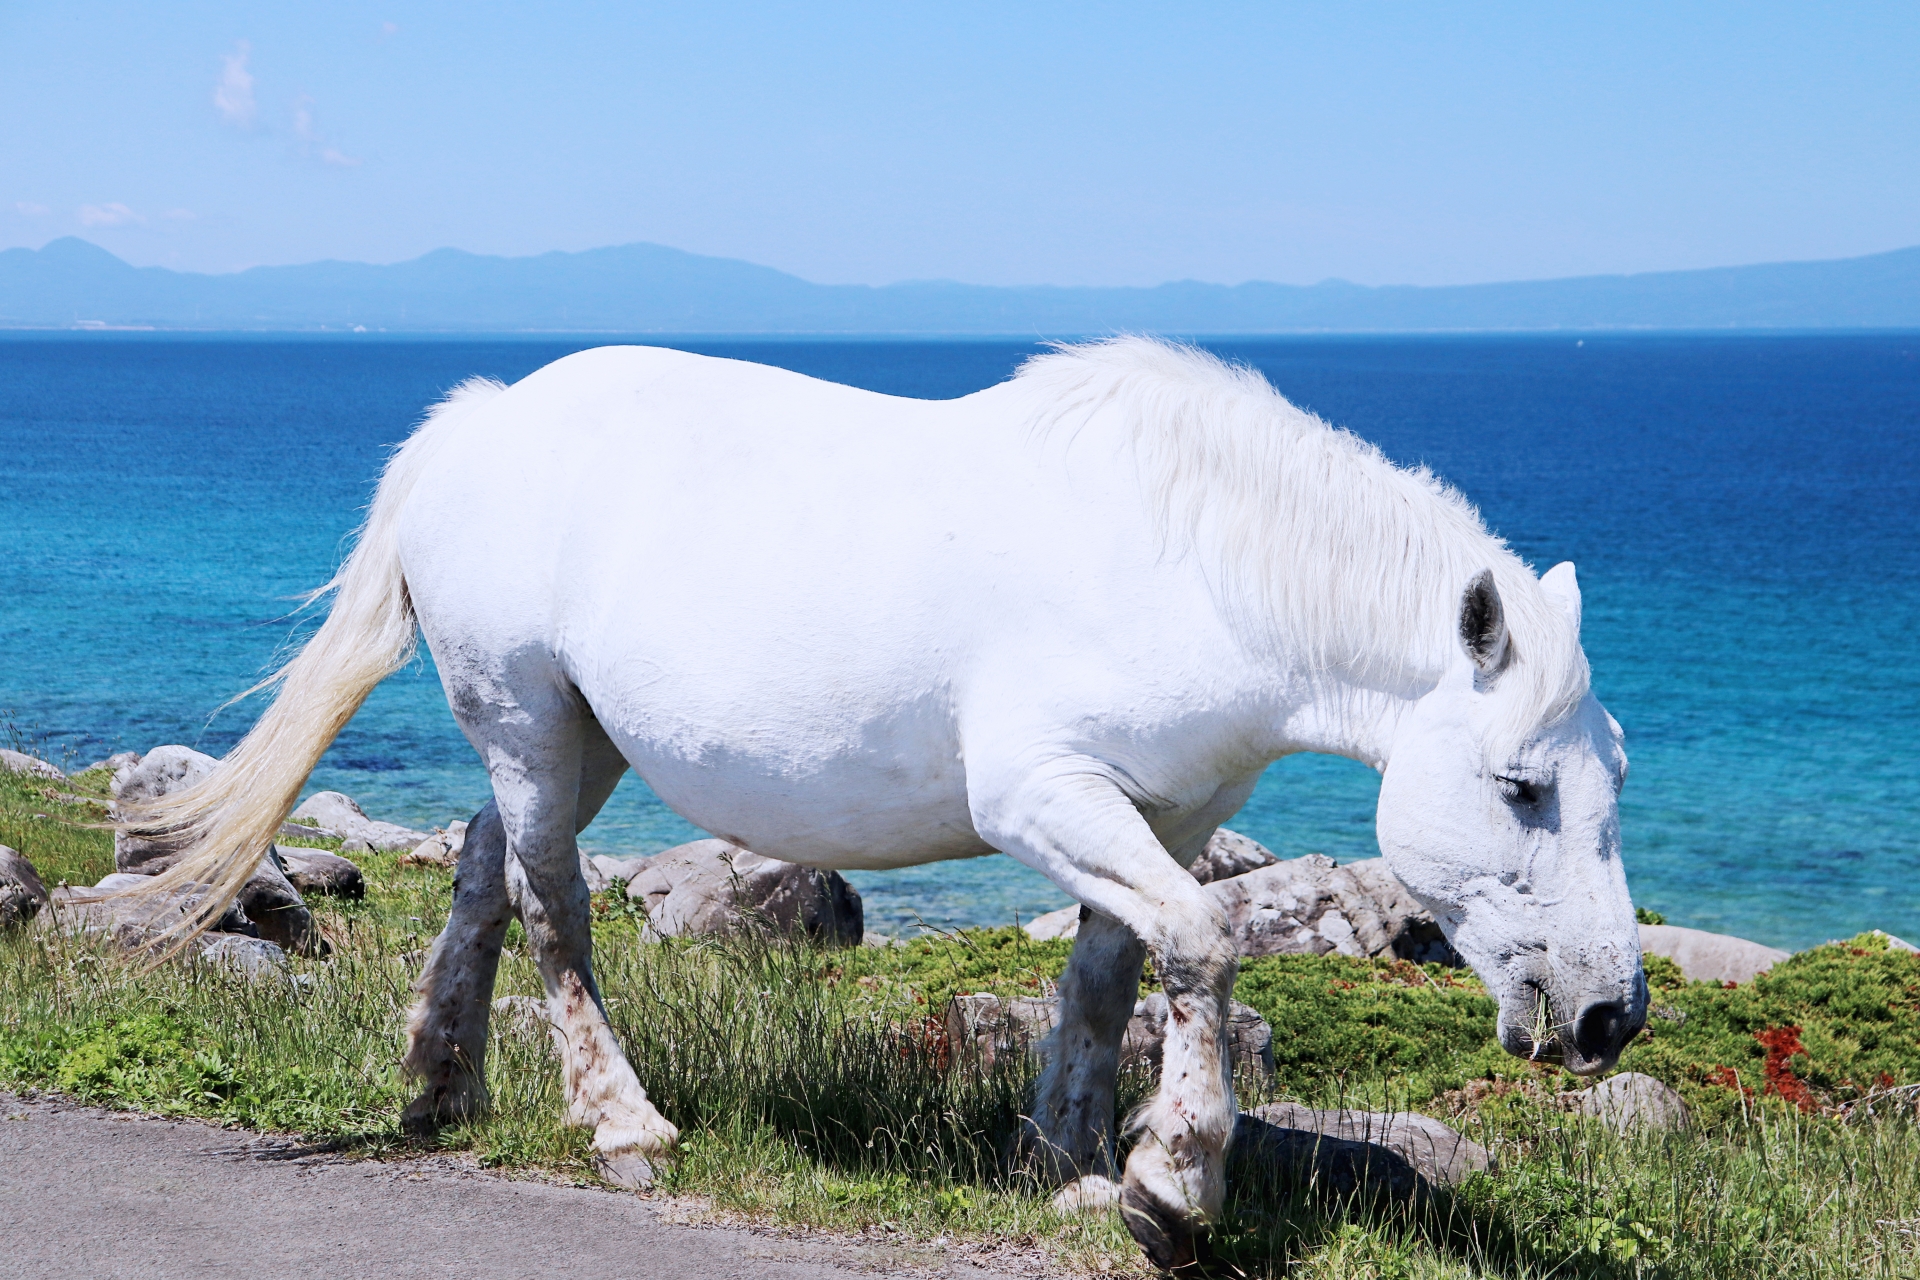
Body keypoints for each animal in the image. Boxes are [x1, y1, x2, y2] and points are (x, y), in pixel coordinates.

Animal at [124, 336, 1646, 1269]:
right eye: (1520, 787)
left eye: (1614, 775)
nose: (1608, 1014)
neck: (1190, 558)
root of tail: (480, 423)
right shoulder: (1047, 794)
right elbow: (1205, 946)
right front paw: (1171, 1187)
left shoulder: (1160, 813)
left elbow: (1113, 976)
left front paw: (1070, 1159)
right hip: (531, 723)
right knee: (556, 910)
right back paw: (621, 1127)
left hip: (563, 734)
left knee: (488, 874)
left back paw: (440, 1083)